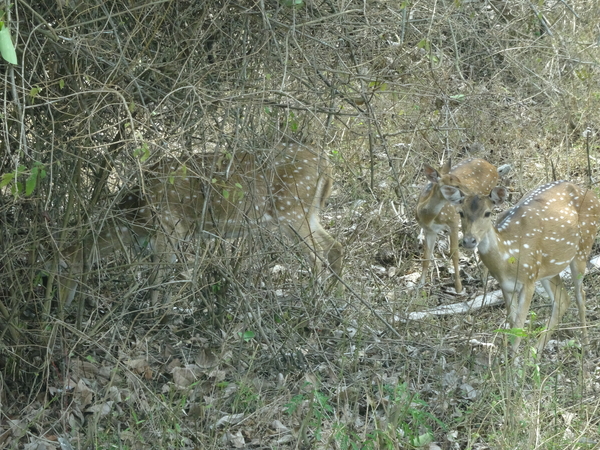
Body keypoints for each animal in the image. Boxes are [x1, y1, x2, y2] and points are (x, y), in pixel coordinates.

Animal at [61, 143, 344, 306]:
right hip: (307, 213)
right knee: (335, 246)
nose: (61, 303)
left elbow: (158, 276)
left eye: (61, 271)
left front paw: (153, 314)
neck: (136, 219)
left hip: (291, 210)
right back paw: (333, 297)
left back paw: (312, 303)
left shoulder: (169, 226)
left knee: (318, 256)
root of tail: (328, 166)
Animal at [414, 160, 504, 294]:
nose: (470, 194)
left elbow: (454, 253)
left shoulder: (453, 221)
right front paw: (420, 285)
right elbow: (427, 256)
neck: (428, 217)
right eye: (454, 186)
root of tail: (493, 166)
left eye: (459, 180)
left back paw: (484, 278)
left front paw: (458, 288)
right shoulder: (429, 230)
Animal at [440, 180, 600, 356]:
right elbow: (512, 326)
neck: (508, 256)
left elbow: (518, 327)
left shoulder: (528, 281)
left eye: (487, 213)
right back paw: (535, 352)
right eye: (461, 212)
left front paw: (513, 362)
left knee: (580, 295)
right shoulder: (506, 285)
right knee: (562, 299)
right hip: (547, 269)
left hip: (582, 249)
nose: (469, 241)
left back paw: (586, 347)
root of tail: (592, 194)